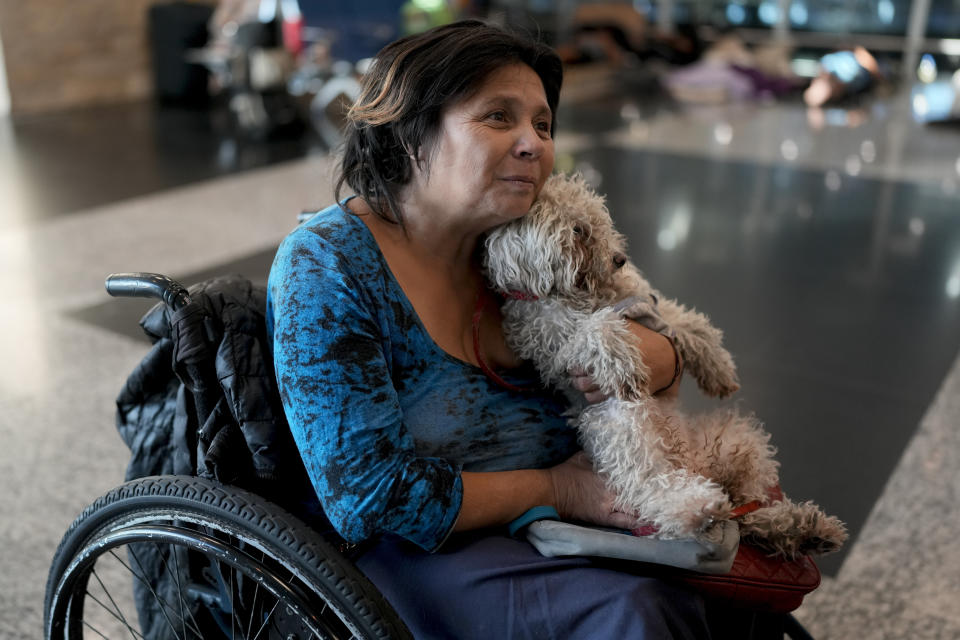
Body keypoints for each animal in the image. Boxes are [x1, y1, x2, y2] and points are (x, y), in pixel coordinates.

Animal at [484, 172, 844, 556]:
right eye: (578, 230)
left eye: (599, 221)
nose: (619, 259)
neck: (586, 294)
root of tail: (692, 463)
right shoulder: (553, 342)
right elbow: (594, 329)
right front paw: (623, 361)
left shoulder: (650, 308)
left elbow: (687, 322)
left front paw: (720, 370)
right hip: (615, 425)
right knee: (654, 487)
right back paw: (703, 508)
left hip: (741, 441)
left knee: (750, 508)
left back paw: (805, 526)